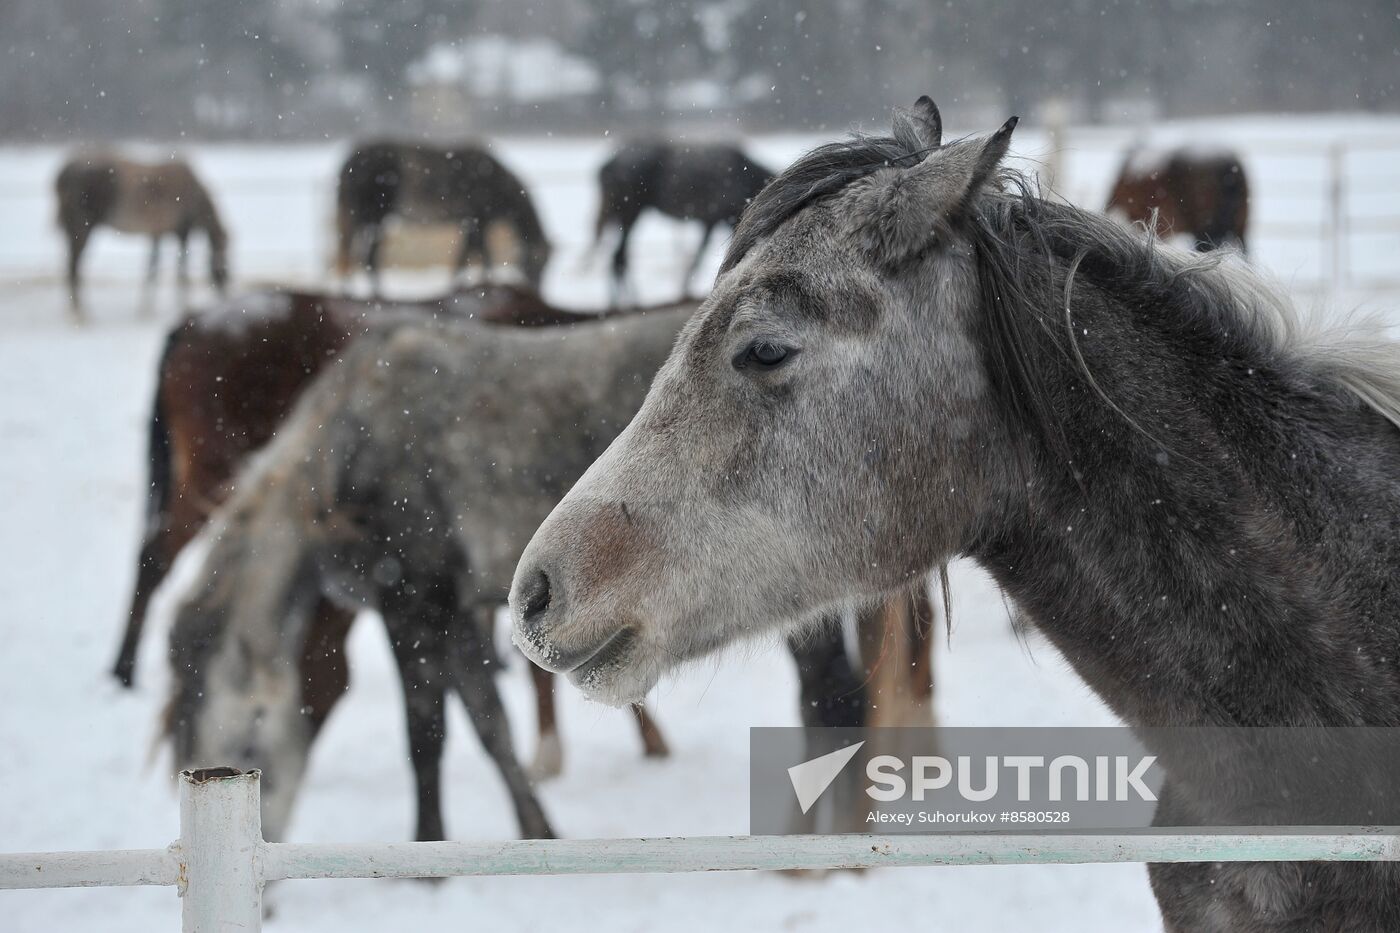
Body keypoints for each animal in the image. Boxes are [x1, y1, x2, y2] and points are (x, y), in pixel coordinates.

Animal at [54, 156, 228, 319]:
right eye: (224, 259)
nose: (224, 293)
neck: (194, 194)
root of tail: (63, 174)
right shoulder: (182, 233)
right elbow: (181, 269)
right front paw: (182, 304)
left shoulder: (157, 234)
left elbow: (152, 266)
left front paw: (146, 307)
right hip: (82, 228)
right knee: (73, 265)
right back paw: (80, 313)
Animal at [337, 141, 551, 292]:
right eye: (538, 260)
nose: (537, 289)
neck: (495, 182)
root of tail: (349, 162)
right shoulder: (478, 222)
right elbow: (483, 256)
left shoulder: (470, 224)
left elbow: (464, 256)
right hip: (372, 217)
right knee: (365, 257)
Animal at [590, 140, 778, 303]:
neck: (744, 174)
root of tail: (609, 163)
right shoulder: (712, 221)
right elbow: (698, 259)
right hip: (631, 214)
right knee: (619, 258)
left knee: (618, 259)